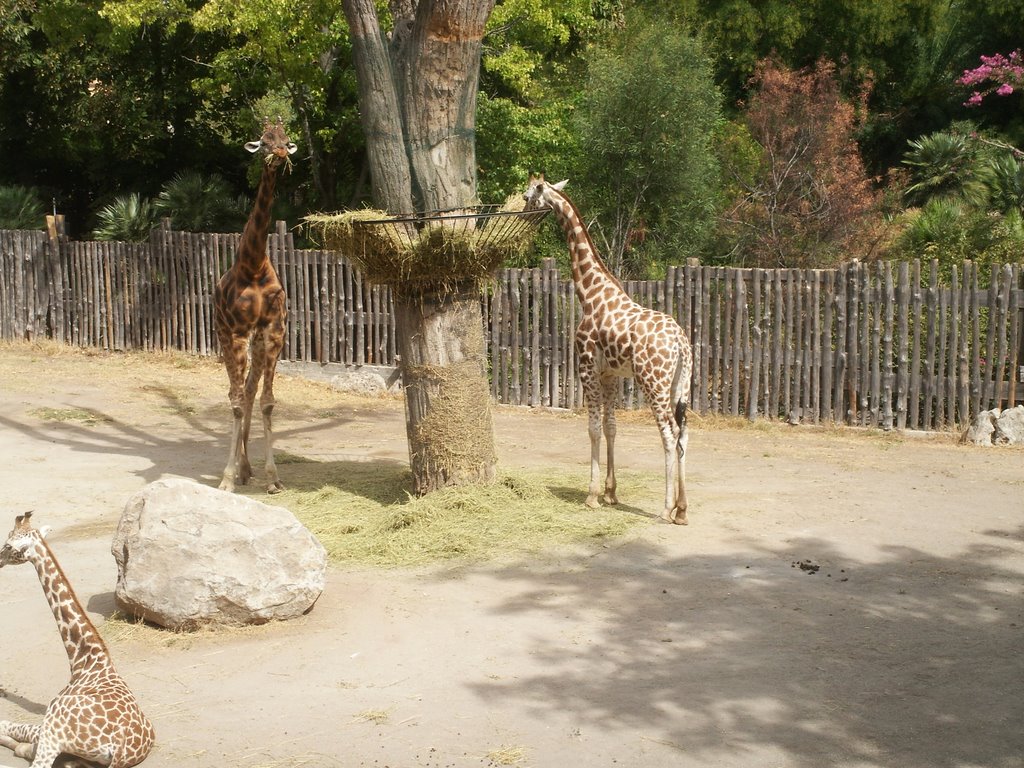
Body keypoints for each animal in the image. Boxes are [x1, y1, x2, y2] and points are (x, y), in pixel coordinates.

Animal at [0, 512, 153, 768]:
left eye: (9, 544)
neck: (83, 659)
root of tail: (121, 749)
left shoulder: (47, 725)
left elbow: (7, 725)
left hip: (55, 732)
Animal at [524, 174, 692, 524]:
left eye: (527, 196)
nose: (522, 213)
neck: (590, 293)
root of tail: (681, 344)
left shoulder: (586, 366)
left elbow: (592, 429)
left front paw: (591, 496)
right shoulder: (610, 374)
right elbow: (611, 427)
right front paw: (611, 493)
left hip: (654, 383)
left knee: (669, 435)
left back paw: (665, 508)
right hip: (680, 385)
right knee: (684, 434)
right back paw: (683, 510)